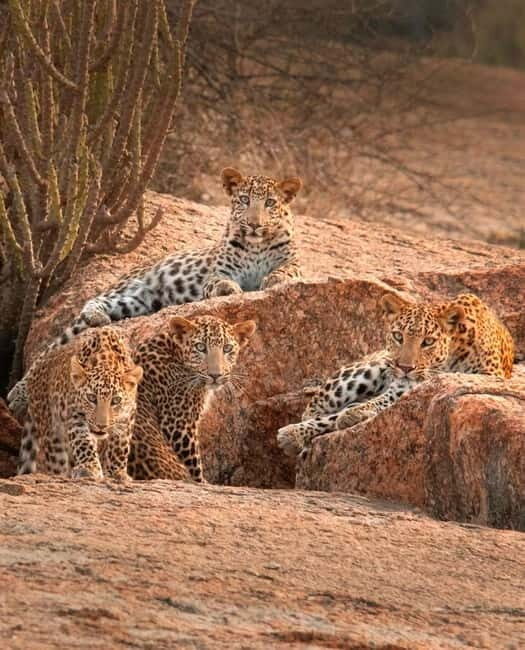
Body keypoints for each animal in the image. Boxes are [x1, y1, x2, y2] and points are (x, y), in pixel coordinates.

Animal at [17, 327, 143, 479]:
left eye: (116, 400)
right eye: (91, 398)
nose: (101, 426)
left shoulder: (128, 415)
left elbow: (120, 444)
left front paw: (116, 472)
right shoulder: (75, 414)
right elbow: (83, 441)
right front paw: (89, 468)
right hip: (52, 434)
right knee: (56, 462)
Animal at [127, 314, 257, 483]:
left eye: (227, 348)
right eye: (200, 347)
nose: (215, 375)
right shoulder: (179, 424)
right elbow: (195, 466)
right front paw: (204, 483)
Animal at [277, 292, 515, 458]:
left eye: (428, 341)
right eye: (398, 336)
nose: (405, 367)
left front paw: (354, 413)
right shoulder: (406, 385)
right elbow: (381, 400)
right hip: (367, 370)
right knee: (313, 409)